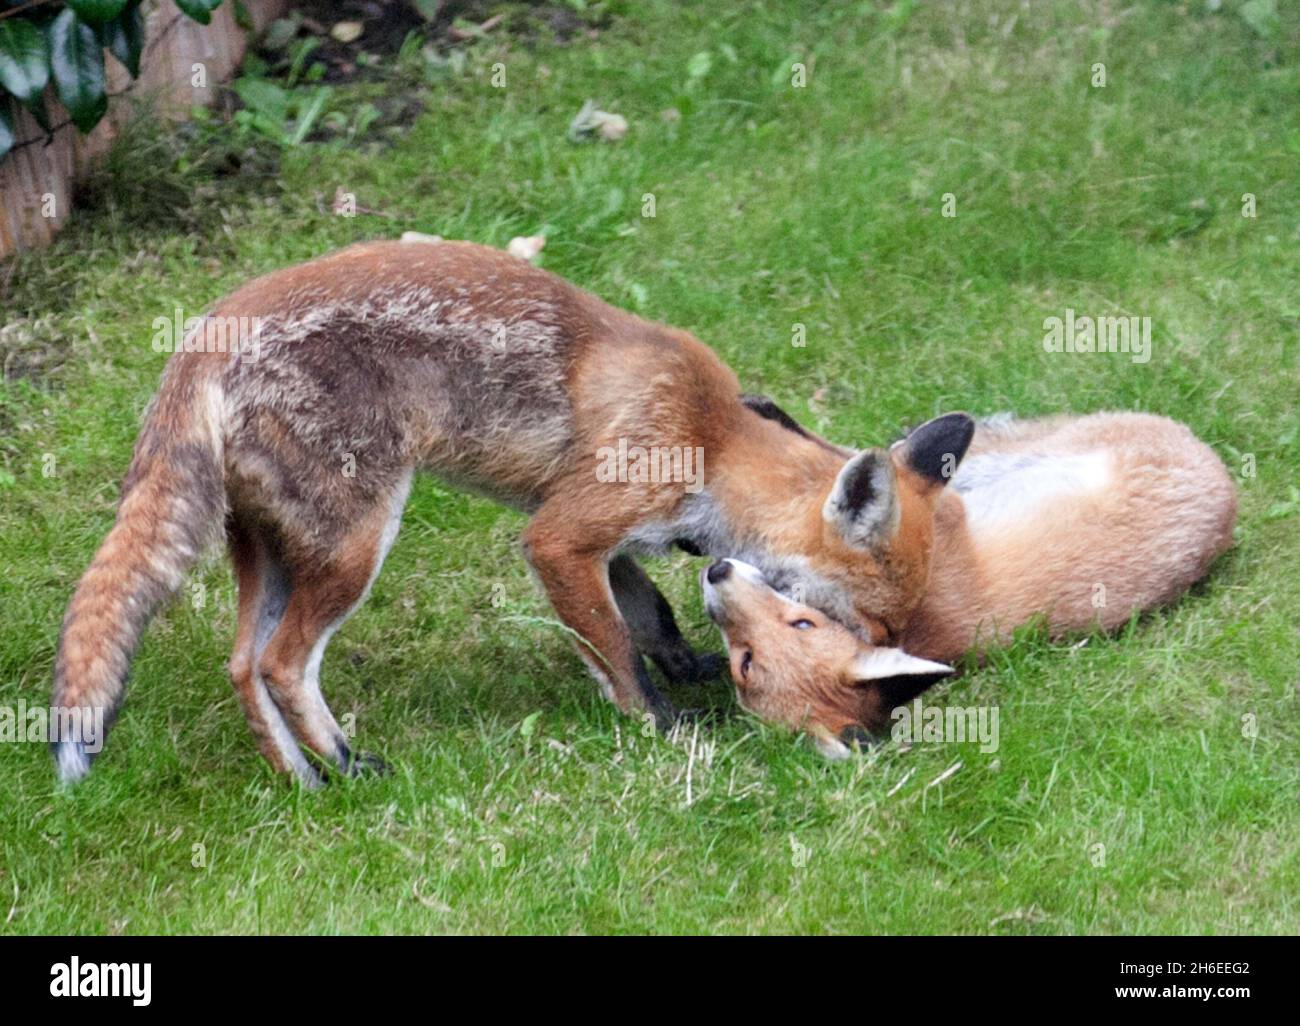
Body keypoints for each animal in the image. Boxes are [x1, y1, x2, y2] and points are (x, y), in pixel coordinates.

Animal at [52, 238, 968, 785]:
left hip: (272, 546)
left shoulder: (609, 538)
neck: (710, 437)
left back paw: (305, 782)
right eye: (871, 624)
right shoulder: (563, 534)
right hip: (355, 542)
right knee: (281, 663)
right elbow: (614, 649)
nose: (907, 675)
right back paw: (346, 761)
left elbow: (654, 614)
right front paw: (662, 725)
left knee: (242, 665)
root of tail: (202, 335)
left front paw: (687, 669)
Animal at [701, 411, 1238, 758]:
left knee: (872, 458)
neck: (914, 631)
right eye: (742, 662)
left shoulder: (937, 528)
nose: (716, 572)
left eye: (802, 624)